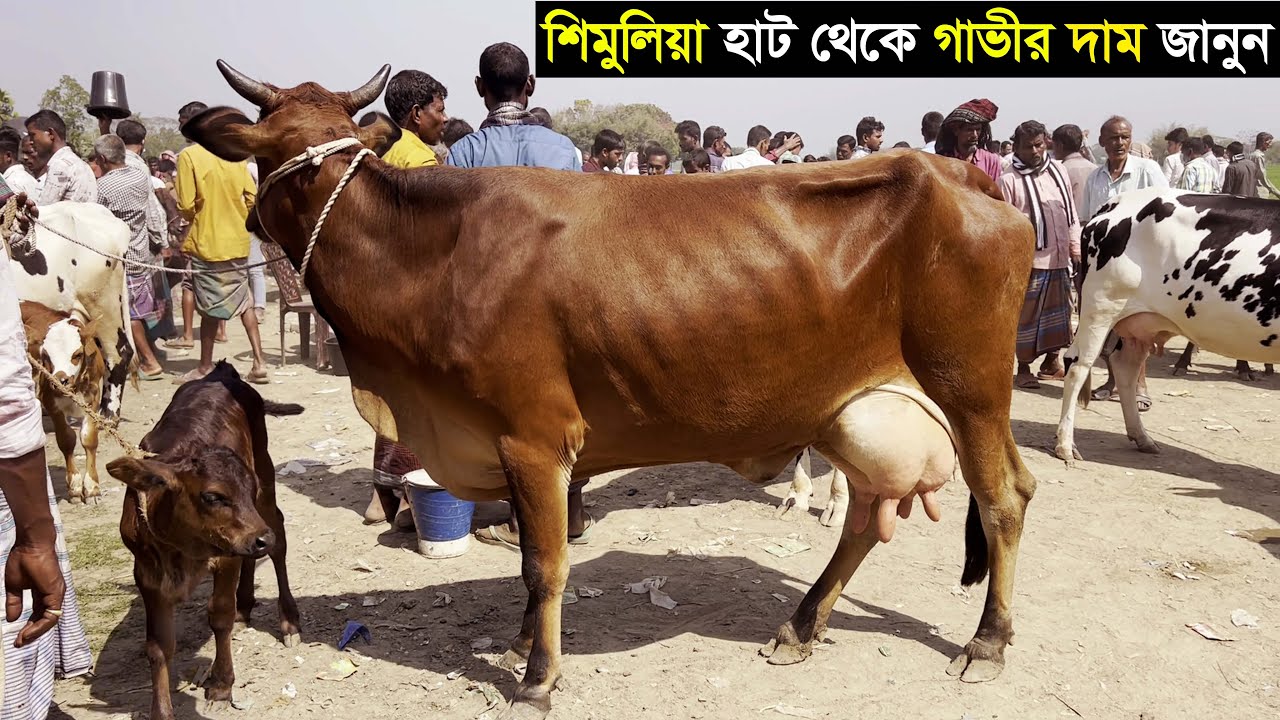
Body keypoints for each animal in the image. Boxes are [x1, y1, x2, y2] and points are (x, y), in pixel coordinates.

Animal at [20, 300, 109, 503]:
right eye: (45, 356)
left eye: (77, 354)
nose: (61, 381)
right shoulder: (51, 403)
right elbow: (66, 439)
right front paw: (75, 487)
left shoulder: (93, 398)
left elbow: (89, 438)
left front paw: (92, 488)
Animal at [105, 361, 302, 720]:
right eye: (213, 496)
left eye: (248, 489)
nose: (261, 538)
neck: (180, 547)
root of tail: (220, 373)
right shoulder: (146, 573)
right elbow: (159, 645)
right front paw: (161, 711)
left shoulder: (226, 556)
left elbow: (219, 616)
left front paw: (222, 685)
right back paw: (246, 604)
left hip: (265, 476)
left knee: (277, 533)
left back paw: (288, 620)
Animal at [182, 61, 1039, 719]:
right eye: (277, 147)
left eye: (324, 149)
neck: (432, 256)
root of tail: (957, 170)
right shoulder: (508, 445)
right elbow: (532, 556)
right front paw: (522, 643)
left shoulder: (533, 436)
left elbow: (545, 564)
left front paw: (537, 676)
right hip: (848, 407)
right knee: (863, 514)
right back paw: (801, 626)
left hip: (971, 388)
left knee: (1005, 496)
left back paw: (987, 641)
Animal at [1057, 187, 1280, 462]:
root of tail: (1115, 203)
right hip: (1101, 307)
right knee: (1077, 366)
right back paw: (1065, 445)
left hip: (1137, 323)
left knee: (1125, 368)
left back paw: (1142, 438)